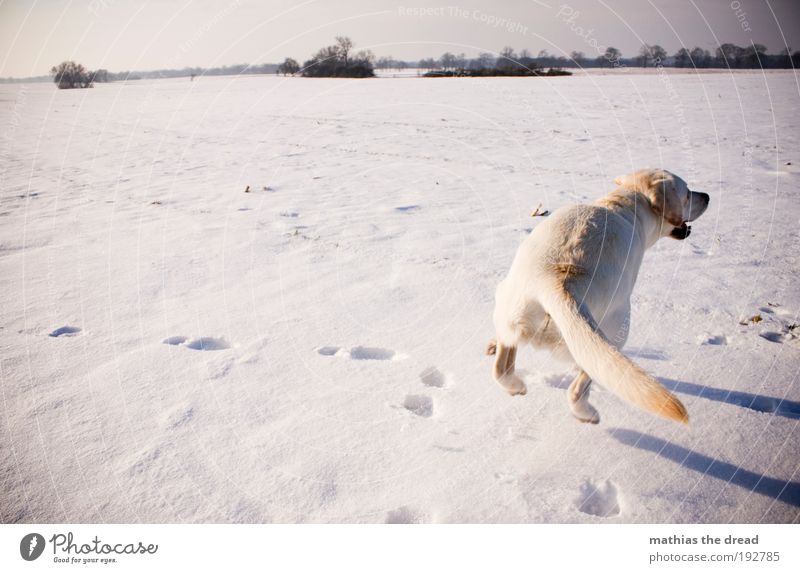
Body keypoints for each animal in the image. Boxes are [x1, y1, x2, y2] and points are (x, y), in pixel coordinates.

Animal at [488, 168, 708, 422]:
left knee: (501, 367)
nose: (708, 196)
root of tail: (556, 282)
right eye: (688, 194)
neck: (625, 205)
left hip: (510, 305)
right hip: (617, 329)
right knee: (578, 387)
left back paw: (514, 383)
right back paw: (587, 413)